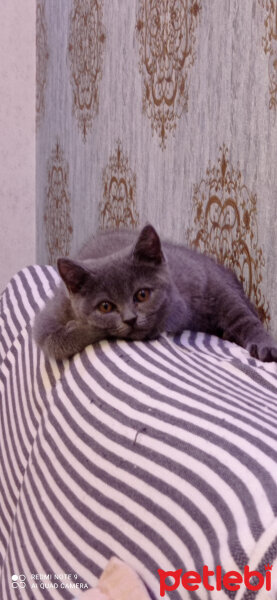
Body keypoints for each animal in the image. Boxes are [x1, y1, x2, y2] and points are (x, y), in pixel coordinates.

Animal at [33, 224, 276, 360]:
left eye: (142, 295)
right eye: (105, 306)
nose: (130, 319)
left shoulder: (185, 297)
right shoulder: (48, 319)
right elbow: (56, 341)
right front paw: (88, 326)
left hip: (217, 284)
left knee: (241, 313)